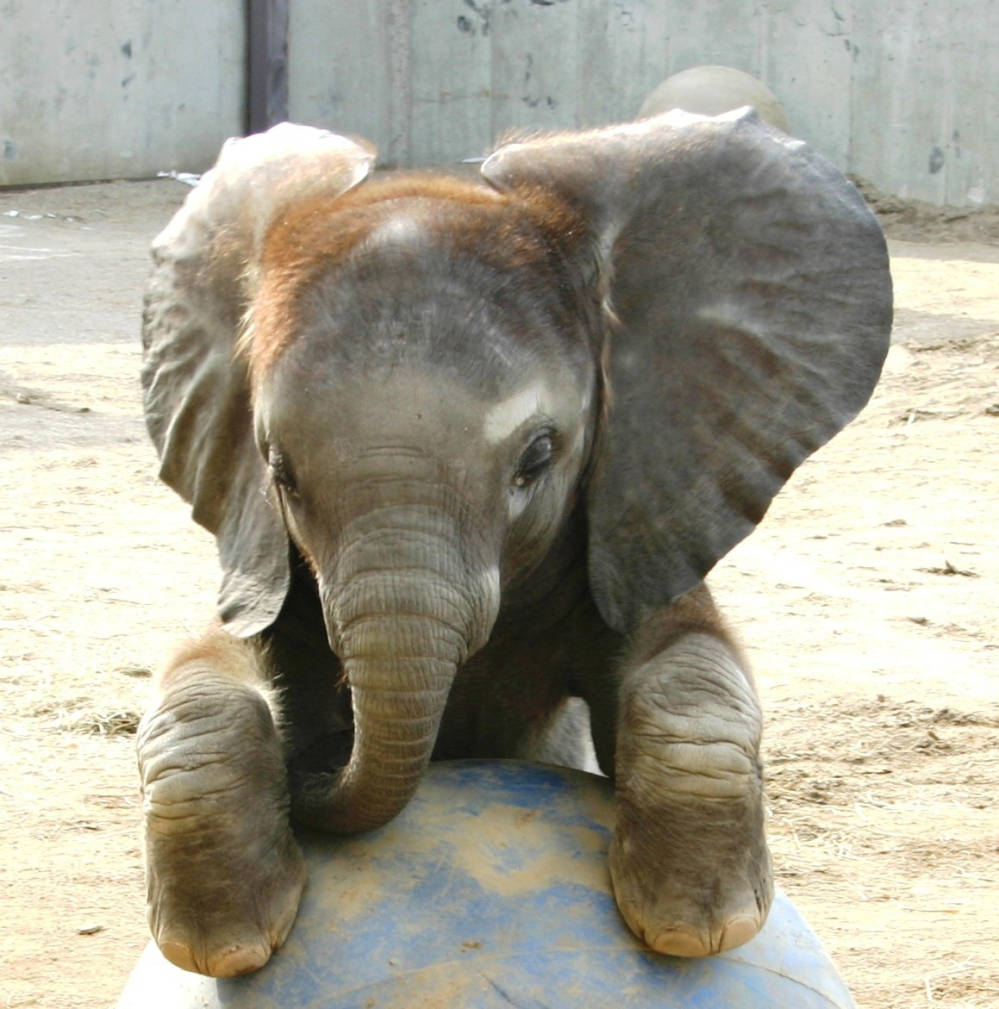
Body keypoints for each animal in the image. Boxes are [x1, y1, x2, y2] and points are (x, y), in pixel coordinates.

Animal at [137, 110, 896, 976]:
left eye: (537, 456)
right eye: (278, 470)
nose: (315, 764)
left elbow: (684, 652)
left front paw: (693, 923)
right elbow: (210, 663)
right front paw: (223, 940)